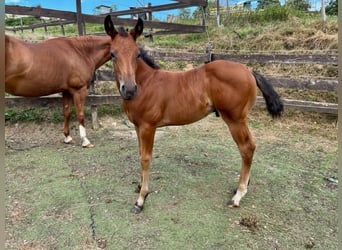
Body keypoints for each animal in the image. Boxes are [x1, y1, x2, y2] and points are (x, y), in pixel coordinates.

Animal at [103, 15, 284, 213]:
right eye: (113, 54)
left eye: (136, 54)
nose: (129, 90)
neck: (145, 83)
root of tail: (249, 71)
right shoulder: (137, 127)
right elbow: (139, 153)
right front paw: (139, 185)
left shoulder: (148, 127)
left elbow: (145, 158)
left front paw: (141, 199)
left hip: (235, 120)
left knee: (247, 148)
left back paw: (238, 195)